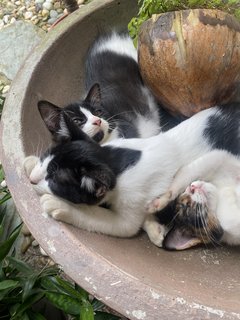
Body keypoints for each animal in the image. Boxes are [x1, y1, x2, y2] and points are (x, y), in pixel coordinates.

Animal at [23, 104, 240, 246]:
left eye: (53, 182)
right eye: (46, 156)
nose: (32, 179)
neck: (117, 161)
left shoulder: (130, 207)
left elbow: (103, 219)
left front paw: (58, 205)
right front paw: (30, 163)